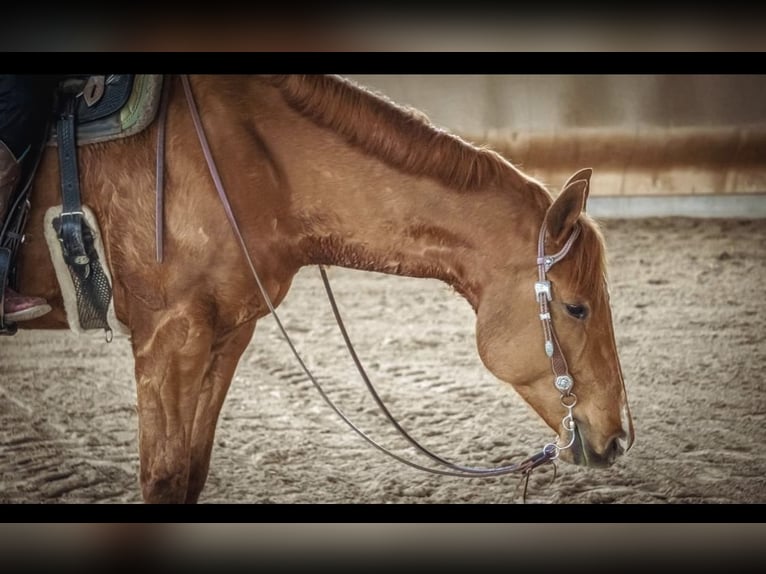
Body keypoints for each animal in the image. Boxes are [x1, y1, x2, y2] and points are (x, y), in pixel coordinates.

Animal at [11, 74, 634, 503]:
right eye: (576, 307)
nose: (619, 438)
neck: (245, 160)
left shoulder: (224, 336)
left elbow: (192, 471)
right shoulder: (168, 340)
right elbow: (163, 479)